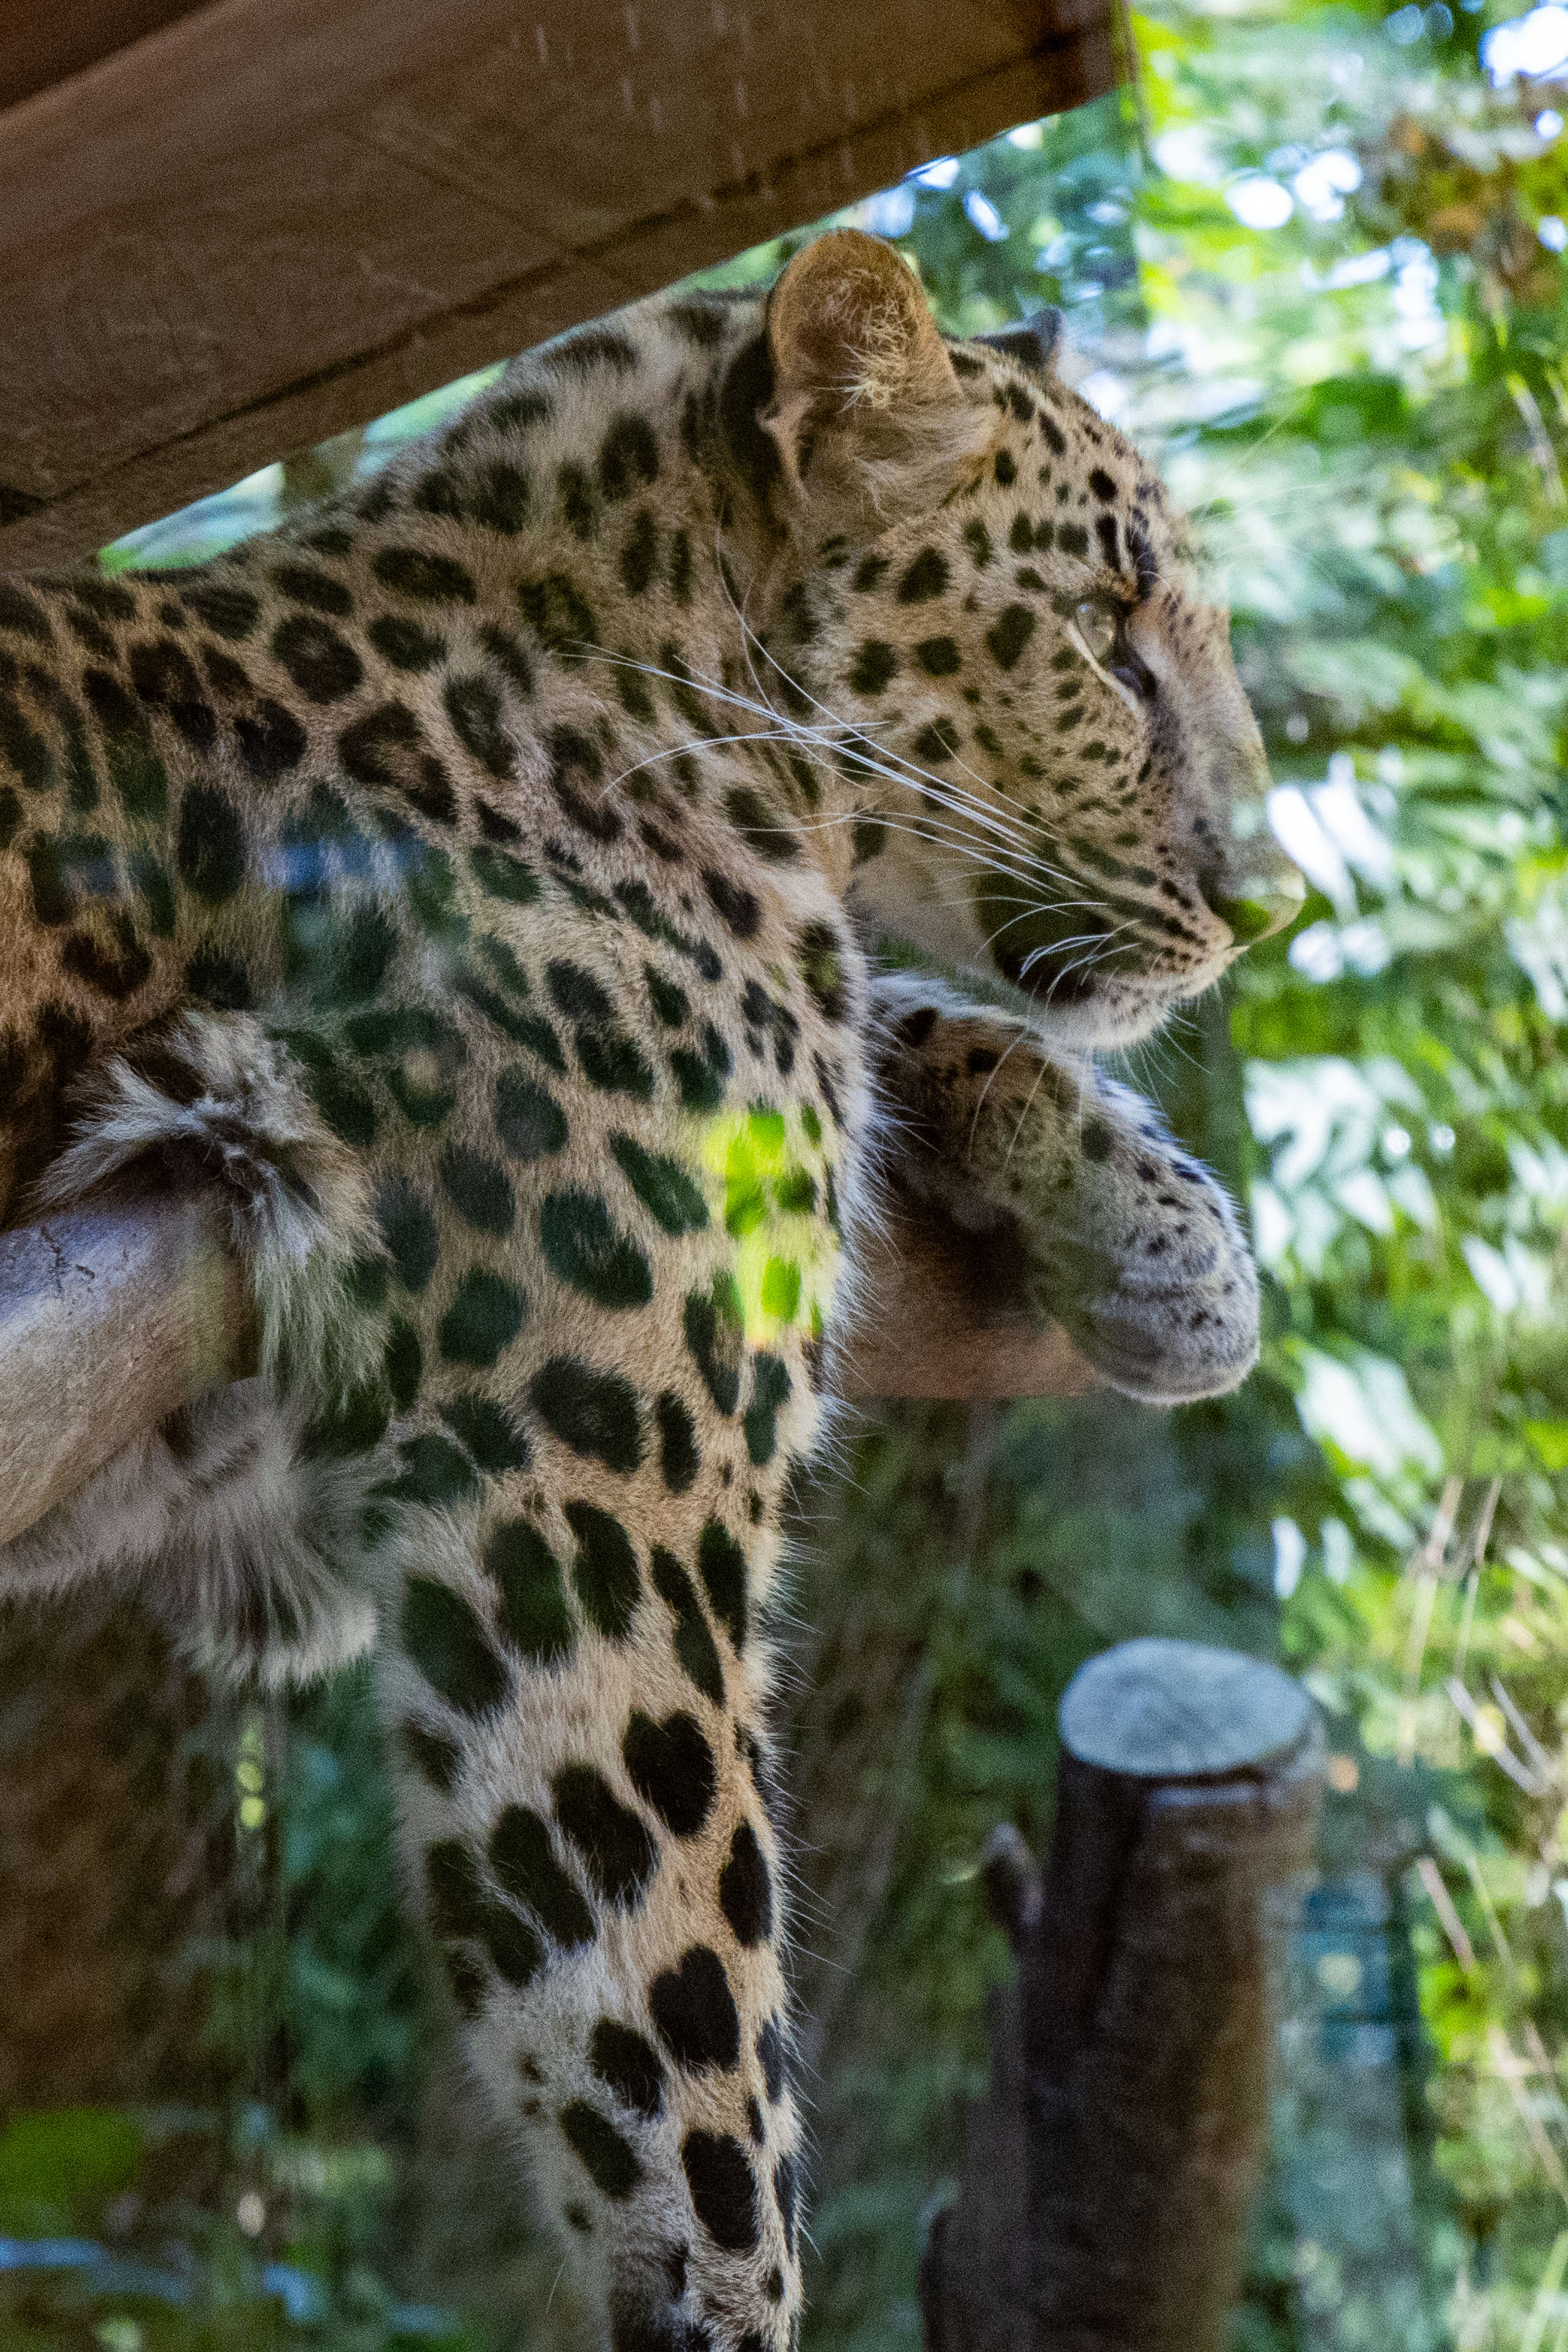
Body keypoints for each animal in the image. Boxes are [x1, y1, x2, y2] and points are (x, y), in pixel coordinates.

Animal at [0, 225, 1297, 2352]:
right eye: (1107, 633)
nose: (1267, 902)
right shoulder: (598, 1531)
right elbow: (705, 2117)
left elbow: (891, 1011)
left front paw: (1167, 1238)